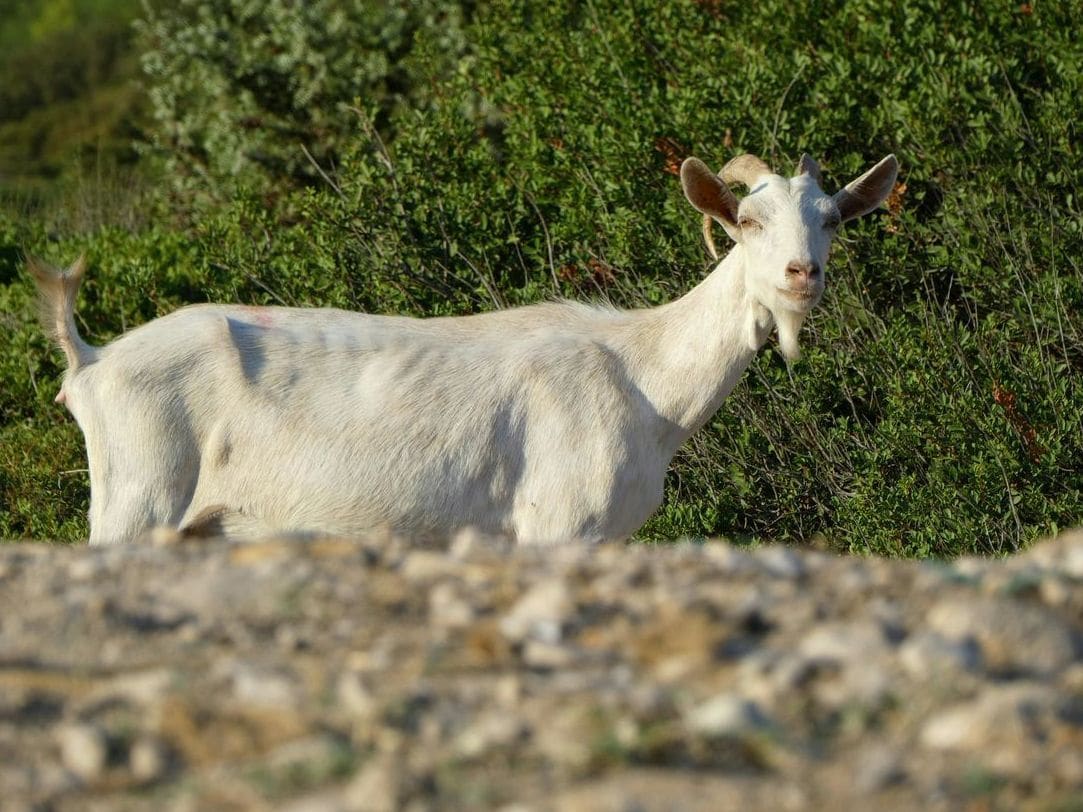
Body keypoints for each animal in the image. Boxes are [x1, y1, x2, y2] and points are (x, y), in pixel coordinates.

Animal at [30, 150, 898, 545]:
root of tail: (92, 362)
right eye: (745, 220)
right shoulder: (557, 526)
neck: (647, 379)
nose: (801, 274)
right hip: (137, 499)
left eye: (831, 218)